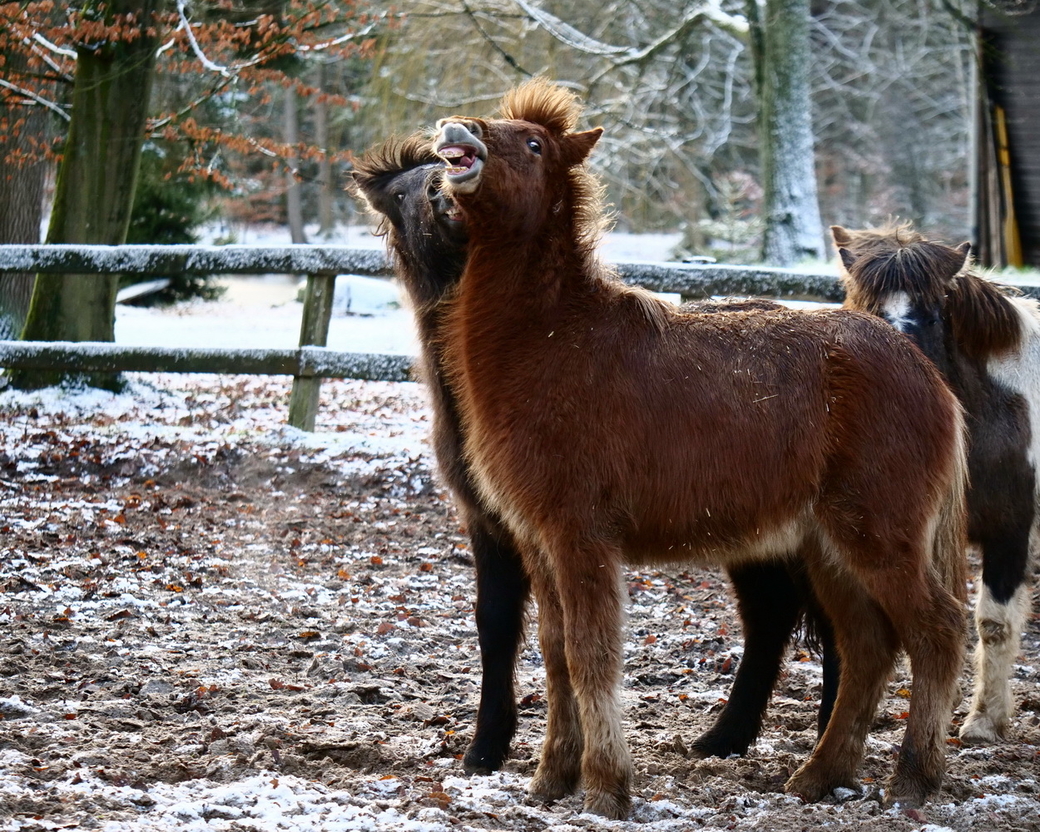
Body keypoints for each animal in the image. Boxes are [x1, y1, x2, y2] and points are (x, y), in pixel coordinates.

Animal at [432, 78, 965, 819]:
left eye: (534, 143)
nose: (458, 130)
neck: (557, 341)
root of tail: (928, 377)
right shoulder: (538, 542)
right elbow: (555, 652)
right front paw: (550, 779)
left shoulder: (579, 536)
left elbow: (592, 654)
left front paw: (606, 789)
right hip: (827, 547)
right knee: (868, 648)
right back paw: (818, 777)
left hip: (879, 536)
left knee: (937, 633)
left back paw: (913, 779)